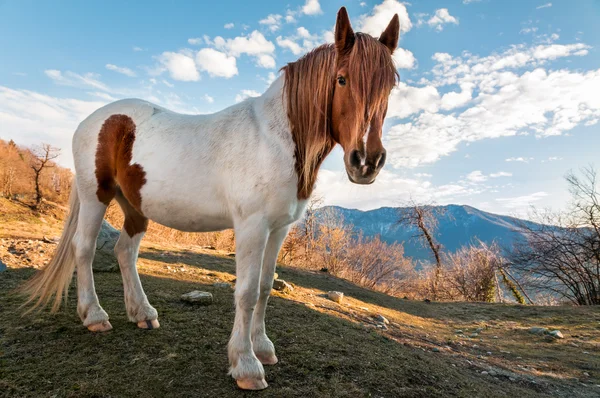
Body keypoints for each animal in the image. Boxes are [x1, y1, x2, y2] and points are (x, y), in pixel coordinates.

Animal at [21, 7, 400, 390]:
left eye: (391, 86)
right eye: (342, 79)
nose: (366, 162)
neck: (275, 139)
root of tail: (94, 119)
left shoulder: (278, 230)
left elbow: (265, 287)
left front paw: (263, 348)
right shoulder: (252, 227)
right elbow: (247, 293)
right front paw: (246, 364)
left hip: (134, 206)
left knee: (124, 252)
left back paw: (142, 313)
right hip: (95, 195)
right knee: (83, 249)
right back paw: (95, 316)